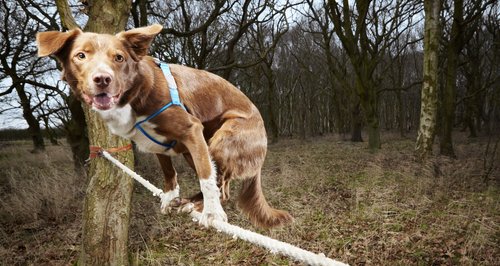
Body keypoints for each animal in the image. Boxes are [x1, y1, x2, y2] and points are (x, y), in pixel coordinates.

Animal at [37, 24, 292, 229]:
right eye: (80, 55)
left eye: (119, 58)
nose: (102, 79)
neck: (135, 93)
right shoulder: (158, 144)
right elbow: (169, 172)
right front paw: (171, 198)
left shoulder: (191, 129)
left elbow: (206, 177)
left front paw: (212, 213)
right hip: (197, 150)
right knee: (220, 184)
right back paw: (190, 203)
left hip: (222, 140)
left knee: (221, 186)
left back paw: (200, 207)